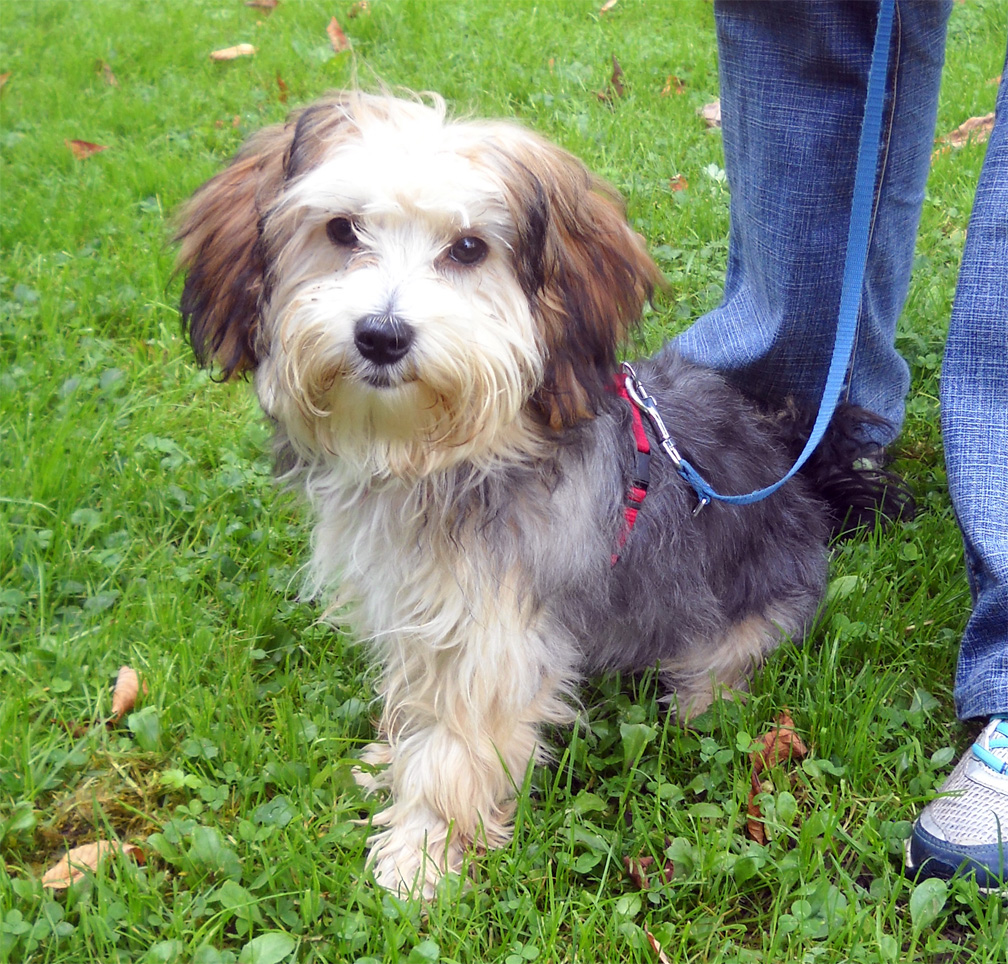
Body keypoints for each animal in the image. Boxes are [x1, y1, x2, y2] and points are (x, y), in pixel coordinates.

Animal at [176, 91, 905, 897]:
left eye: (469, 248)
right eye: (341, 230)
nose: (381, 335)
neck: (444, 458)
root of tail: (802, 480)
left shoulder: (493, 635)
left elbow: (457, 750)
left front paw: (423, 855)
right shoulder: (417, 611)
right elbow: (416, 698)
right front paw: (393, 762)